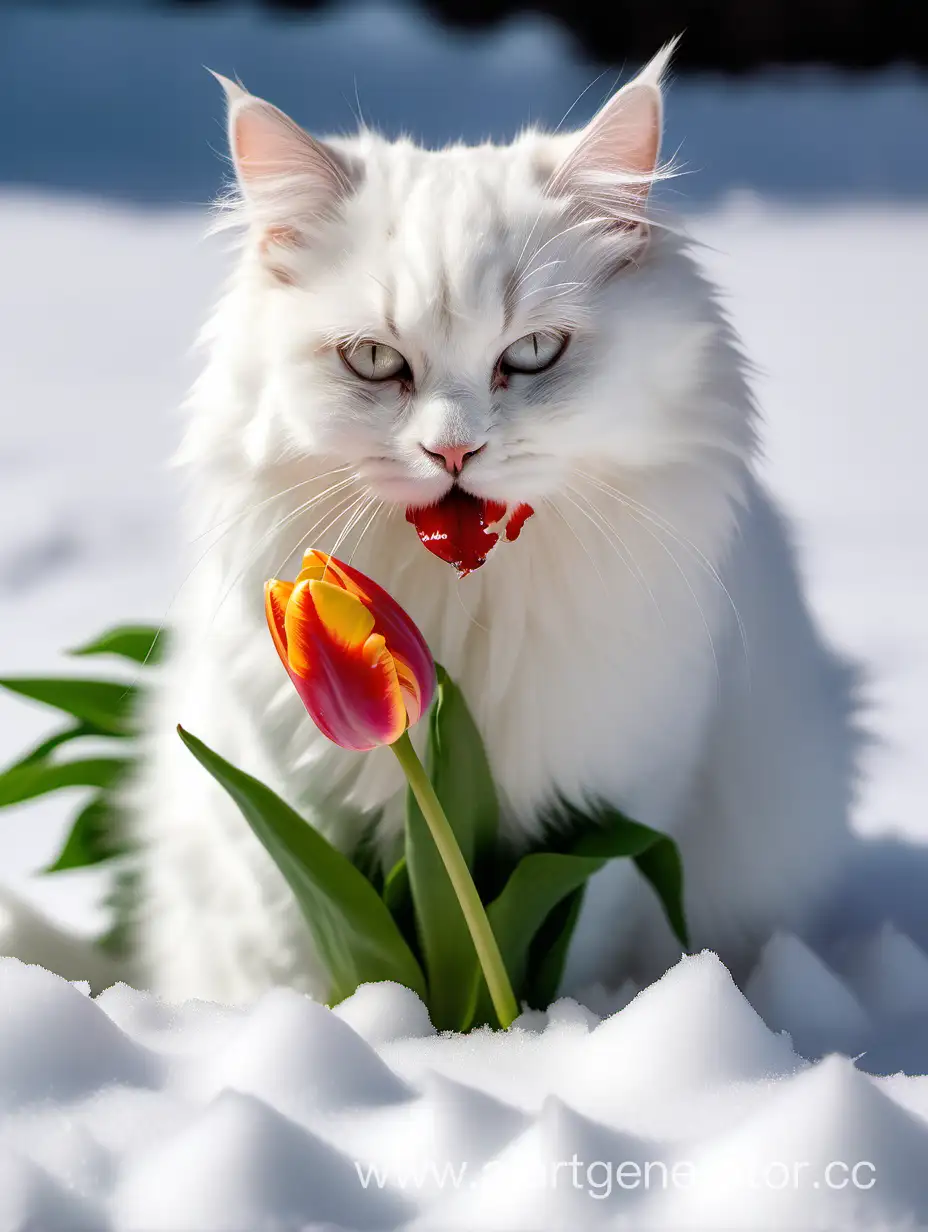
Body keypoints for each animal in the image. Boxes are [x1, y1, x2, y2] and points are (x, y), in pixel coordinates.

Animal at [3, 45, 857, 1010]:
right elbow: (315, 959)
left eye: (533, 354)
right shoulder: (287, 817)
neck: (459, 629)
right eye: (375, 361)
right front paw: (359, 1030)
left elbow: (554, 951)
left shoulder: (610, 816)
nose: (453, 451)